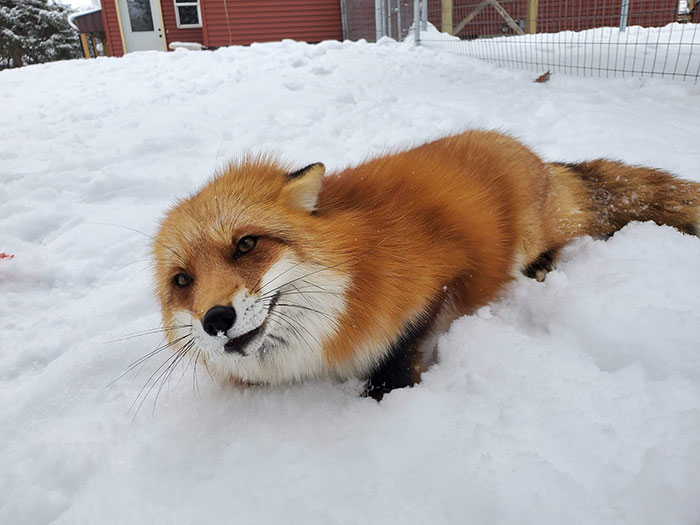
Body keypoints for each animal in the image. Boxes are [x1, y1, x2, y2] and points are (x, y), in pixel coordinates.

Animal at [153, 131, 700, 399]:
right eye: (183, 281)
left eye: (246, 245)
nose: (216, 319)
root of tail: (537, 157)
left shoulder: (440, 278)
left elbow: (402, 348)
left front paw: (387, 391)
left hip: (529, 236)